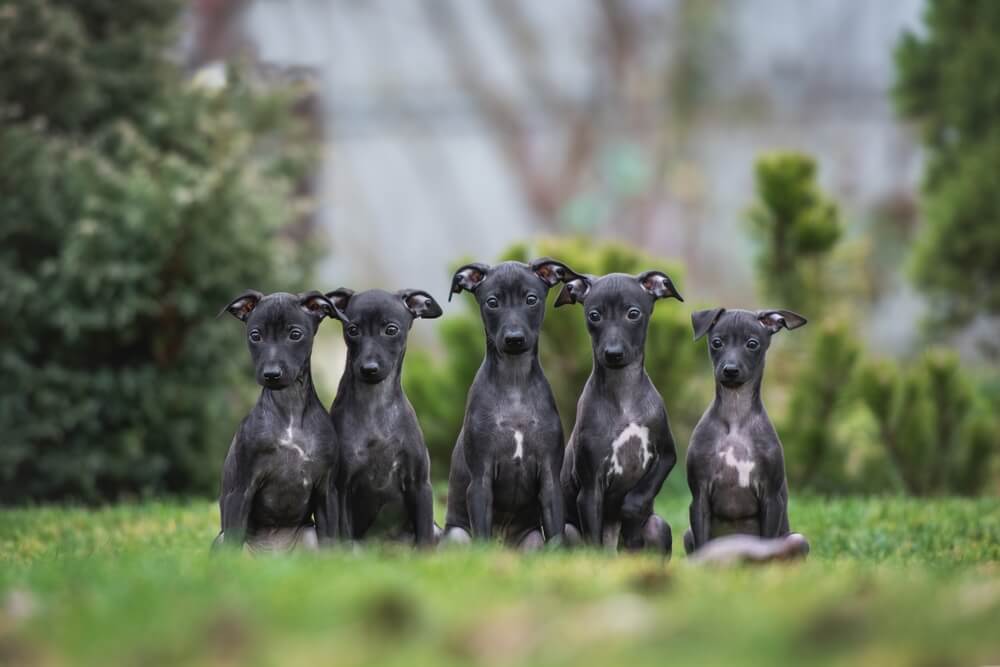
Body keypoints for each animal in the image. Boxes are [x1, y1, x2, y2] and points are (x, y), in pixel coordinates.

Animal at [326, 288, 444, 548]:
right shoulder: (342, 487)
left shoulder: (420, 484)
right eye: (353, 330)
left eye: (391, 329)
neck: (375, 407)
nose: (369, 369)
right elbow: (344, 536)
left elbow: (424, 538)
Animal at [446, 256, 580, 548]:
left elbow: (557, 535)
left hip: (533, 540)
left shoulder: (550, 479)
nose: (514, 339)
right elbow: (481, 534)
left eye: (531, 299)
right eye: (492, 302)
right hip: (457, 536)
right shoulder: (480, 480)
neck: (514, 384)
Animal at [556, 268, 688, 556]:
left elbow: (637, 499)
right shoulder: (590, 488)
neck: (624, 397)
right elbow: (593, 532)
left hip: (659, 527)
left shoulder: (667, 454)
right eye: (594, 315)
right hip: (568, 532)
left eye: (633, 313)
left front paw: (631, 521)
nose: (613, 354)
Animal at [684, 308, 808, 560]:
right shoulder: (699, 496)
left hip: (797, 539)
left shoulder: (771, 498)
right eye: (717, 342)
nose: (730, 370)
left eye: (752, 344)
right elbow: (702, 542)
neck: (735, 419)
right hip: (687, 534)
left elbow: (768, 542)